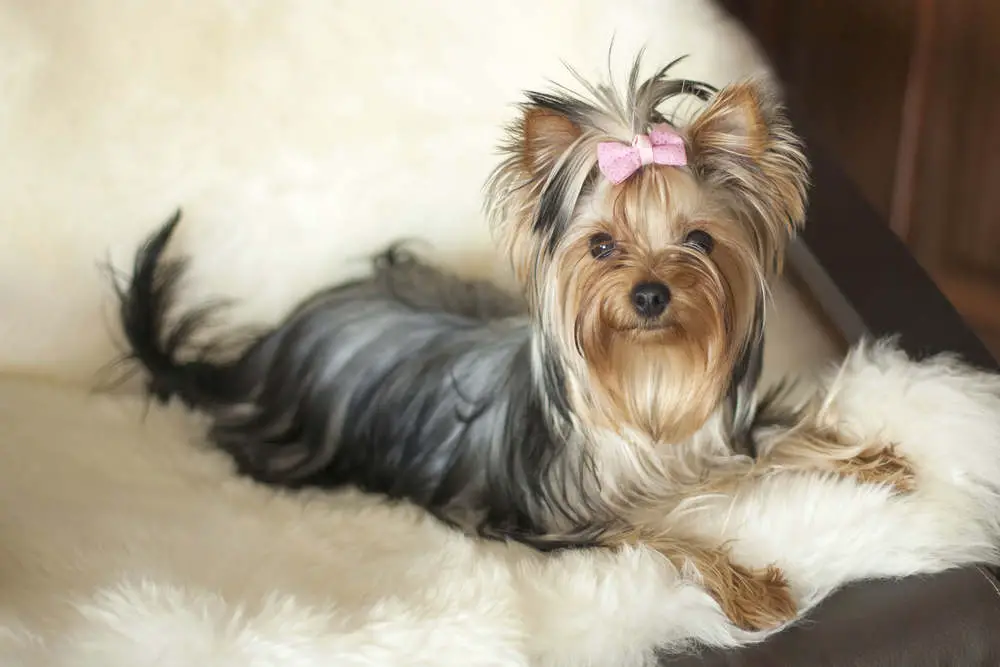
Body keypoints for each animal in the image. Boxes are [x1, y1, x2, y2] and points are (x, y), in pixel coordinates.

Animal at [111, 57, 916, 632]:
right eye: (600, 245)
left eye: (698, 240)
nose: (650, 294)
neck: (648, 375)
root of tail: (265, 349)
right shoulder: (563, 519)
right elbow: (668, 536)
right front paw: (753, 587)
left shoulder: (719, 435)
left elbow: (779, 439)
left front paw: (871, 458)